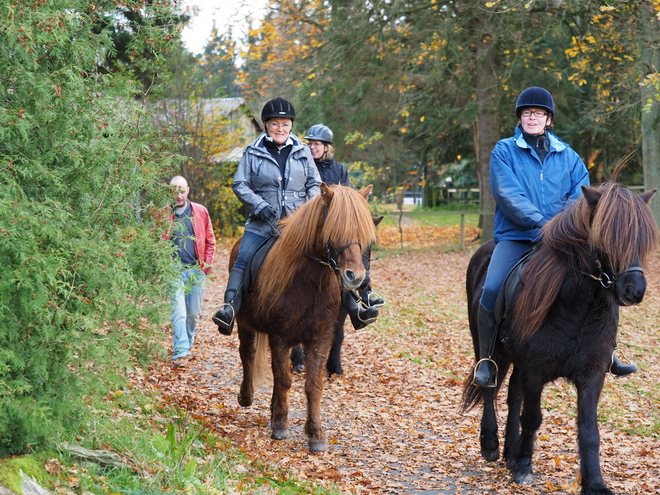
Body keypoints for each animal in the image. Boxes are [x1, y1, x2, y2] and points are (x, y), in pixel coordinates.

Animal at [231, 183, 376, 454]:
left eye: (364, 236)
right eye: (334, 229)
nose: (357, 277)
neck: (310, 283)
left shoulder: (320, 338)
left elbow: (312, 384)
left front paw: (315, 433)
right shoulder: (279, 337)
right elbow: (284, 380)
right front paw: (280, 425)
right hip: (244, 324)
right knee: (248, 354)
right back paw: (247, 397)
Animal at [462, 183, 656, 495]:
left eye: (641, 237)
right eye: (604, 236)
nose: (634, 290)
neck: (579, 307)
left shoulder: (592, 374)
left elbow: (588, 429)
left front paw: (595, 483)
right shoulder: (535, 370)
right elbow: (532, 418)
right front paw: (524, 468)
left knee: (513, 394)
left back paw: (510, 452)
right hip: (484, 346)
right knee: (490, 387)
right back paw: (492, 445)